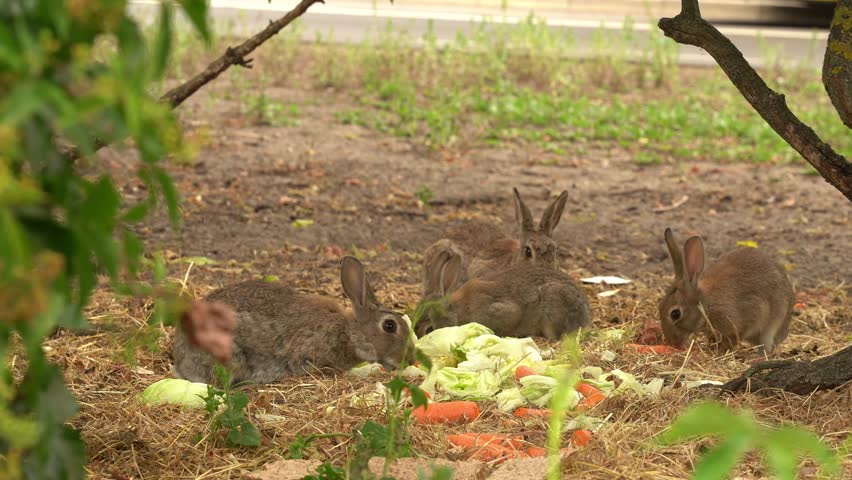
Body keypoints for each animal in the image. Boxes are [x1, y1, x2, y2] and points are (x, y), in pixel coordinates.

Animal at [658, 227, 795, 355]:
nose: (672, 343)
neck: (707, 304)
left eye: (675, 314)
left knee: (767, 348)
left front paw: (719, 352)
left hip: (773, 327)